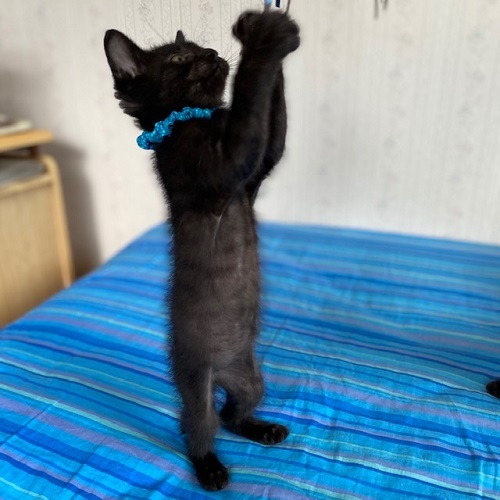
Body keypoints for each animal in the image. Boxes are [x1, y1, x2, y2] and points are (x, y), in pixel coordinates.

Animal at [104, 10, 299, 491]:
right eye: (178, 57)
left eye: (199, 49)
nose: (211, 53)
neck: (193, 120)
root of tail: (224, 372)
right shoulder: (222, 163)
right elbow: (249, 100)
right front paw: (263, 41)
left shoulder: (257, 169)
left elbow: (272, 126)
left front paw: (273, 28)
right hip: (194, 381)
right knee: (199, 426)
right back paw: (210, 468)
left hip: (251, 378)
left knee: (234, 414)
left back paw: (262, 429)